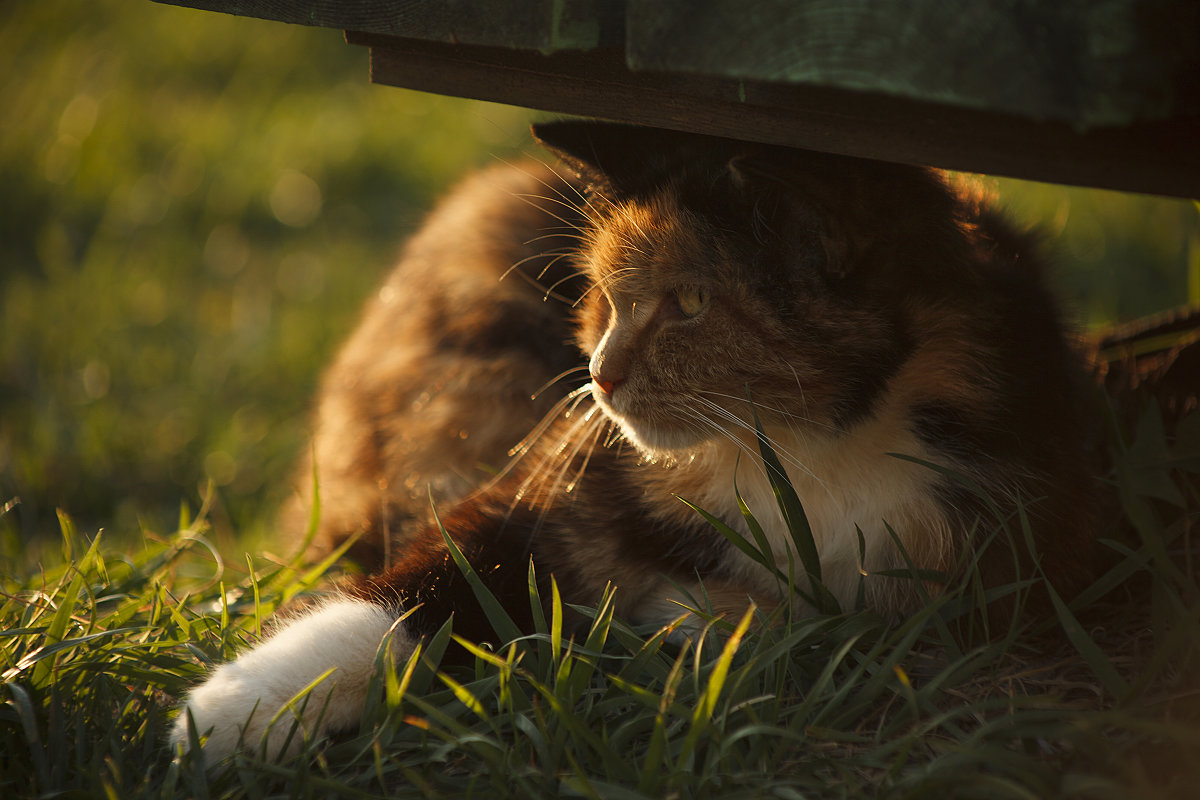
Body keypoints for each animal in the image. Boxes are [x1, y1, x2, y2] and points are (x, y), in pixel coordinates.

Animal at [171, 118, 1104, 762]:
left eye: (690, 301)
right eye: (603, 291)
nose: (598, 375)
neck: (802, 453)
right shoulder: (532, 497)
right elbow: (405, 596)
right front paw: (230, 714)